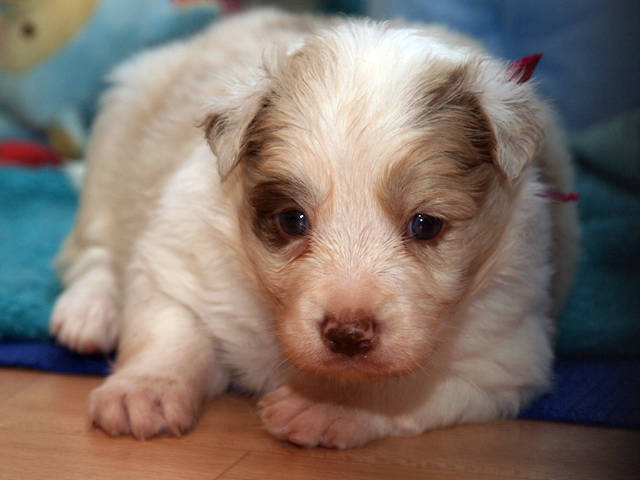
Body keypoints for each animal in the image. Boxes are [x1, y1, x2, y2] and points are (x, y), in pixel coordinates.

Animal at [49, 9, 579, 448]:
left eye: (426, 225)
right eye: (292, 220)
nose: (347, 334)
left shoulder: (506, 351)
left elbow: (408, 384)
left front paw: (327, 407)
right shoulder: (180, 255)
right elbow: (170, 328)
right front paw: (143, 392)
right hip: (120, 123)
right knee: (92, 246)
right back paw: (89, 311)